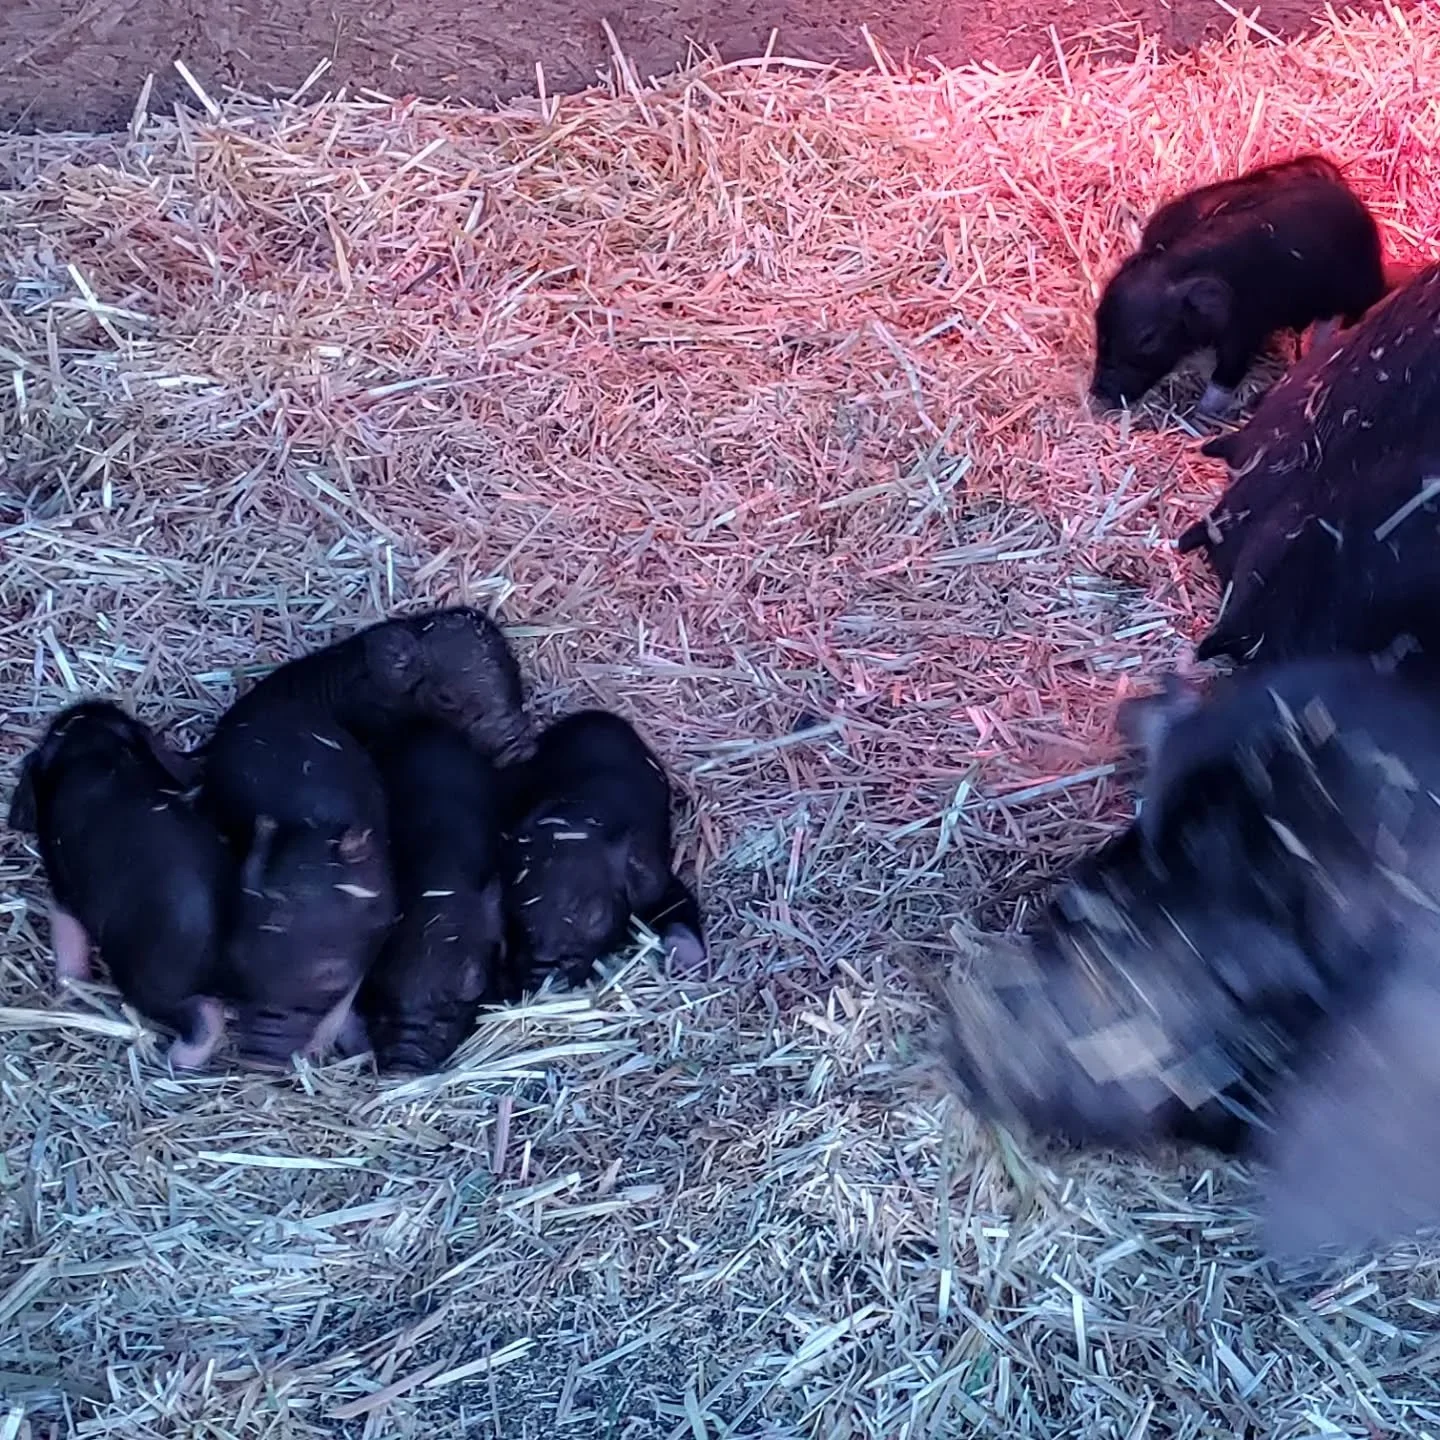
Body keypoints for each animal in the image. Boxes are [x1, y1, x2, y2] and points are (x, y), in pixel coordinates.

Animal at [7, 701, 235, 1069]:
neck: (94, 756)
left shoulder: (64, 889)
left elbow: (68, 939)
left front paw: (70, 989)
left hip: (146, 983)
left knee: (203, 1016)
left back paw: (176, 1056)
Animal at [500, 709, 705, 990]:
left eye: (595, 917)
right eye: (519, 912)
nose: (546, 966)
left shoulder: (653, 880)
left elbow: (677, 902)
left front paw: (691, 963)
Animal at [1090, 154, 1385, 417]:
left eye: (1147, 338)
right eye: (1099, 327)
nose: (1098, 392)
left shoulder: (1245, 327)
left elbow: (1227, 375)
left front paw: (1201, 415)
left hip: (1362, 284)